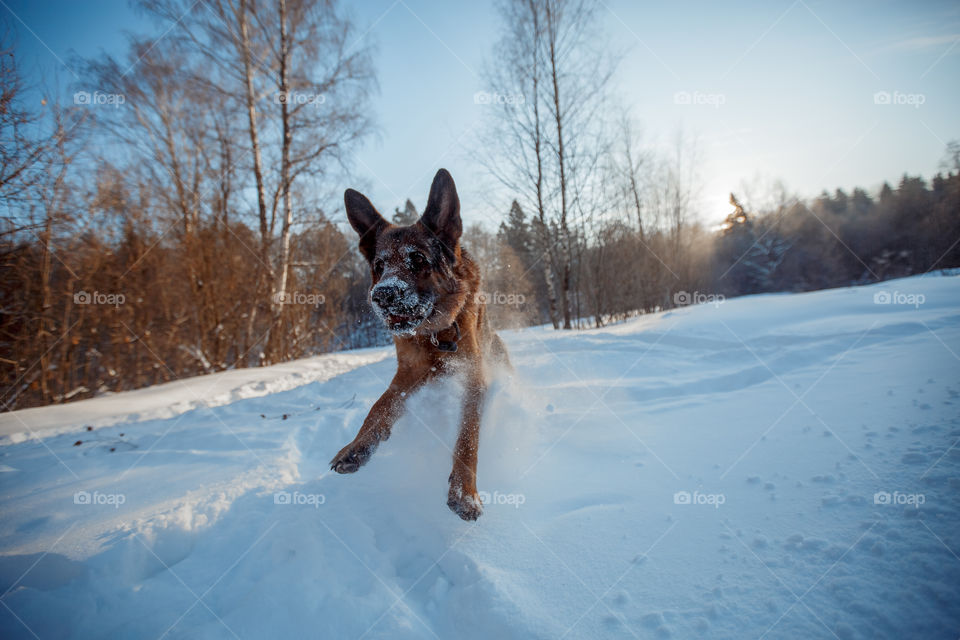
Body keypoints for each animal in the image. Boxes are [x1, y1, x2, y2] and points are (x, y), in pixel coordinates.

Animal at [330, 169, 510, 520]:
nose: (383, 295)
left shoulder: (473, 376)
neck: (436, 336)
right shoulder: (409, 372)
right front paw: (357, 447)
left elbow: (467, 435)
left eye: (417, 259)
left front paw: (464, 492)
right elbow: (380, 406)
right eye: (379, 266)